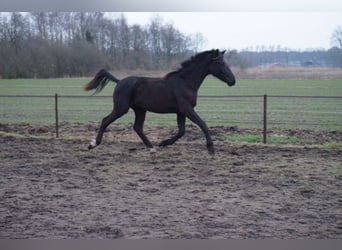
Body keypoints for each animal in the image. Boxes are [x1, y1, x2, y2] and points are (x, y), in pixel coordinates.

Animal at [84, 48, 236, 154]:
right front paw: (211, 148)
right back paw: (93, 144)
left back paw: (152, 148)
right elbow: (202, 124)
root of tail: (119, 81)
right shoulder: (186, 108)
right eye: (221, 62)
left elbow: (182, 131)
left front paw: (163, 143)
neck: (186, 82)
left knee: (137, 127)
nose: (233, 81)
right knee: (105, 120)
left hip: (140, 110)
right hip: (121, 108)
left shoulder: (181, 112)